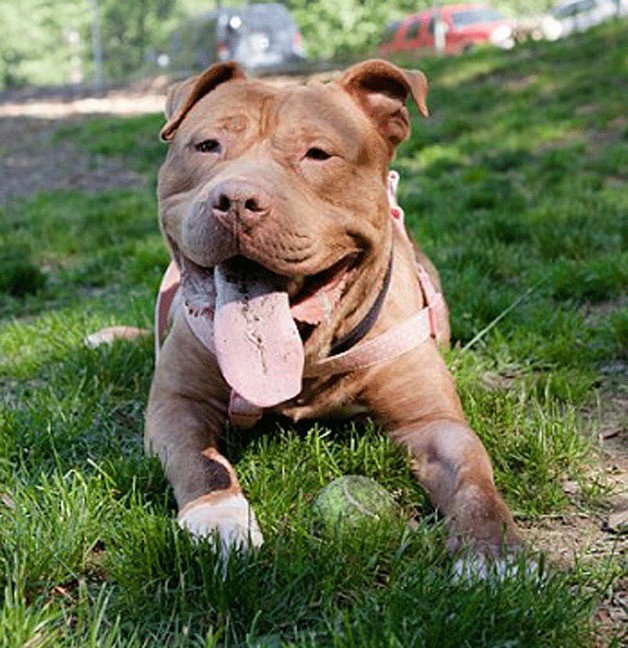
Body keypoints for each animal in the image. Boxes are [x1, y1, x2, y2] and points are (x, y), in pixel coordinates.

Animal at [145, 60, 516, 564]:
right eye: (207, 146)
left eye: (318, 154)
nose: (237, 200)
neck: (307, 355)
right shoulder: (176, 404)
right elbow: (202, 463)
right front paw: (219, 516)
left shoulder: (433, 423)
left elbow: (473, 477)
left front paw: (494, 551)